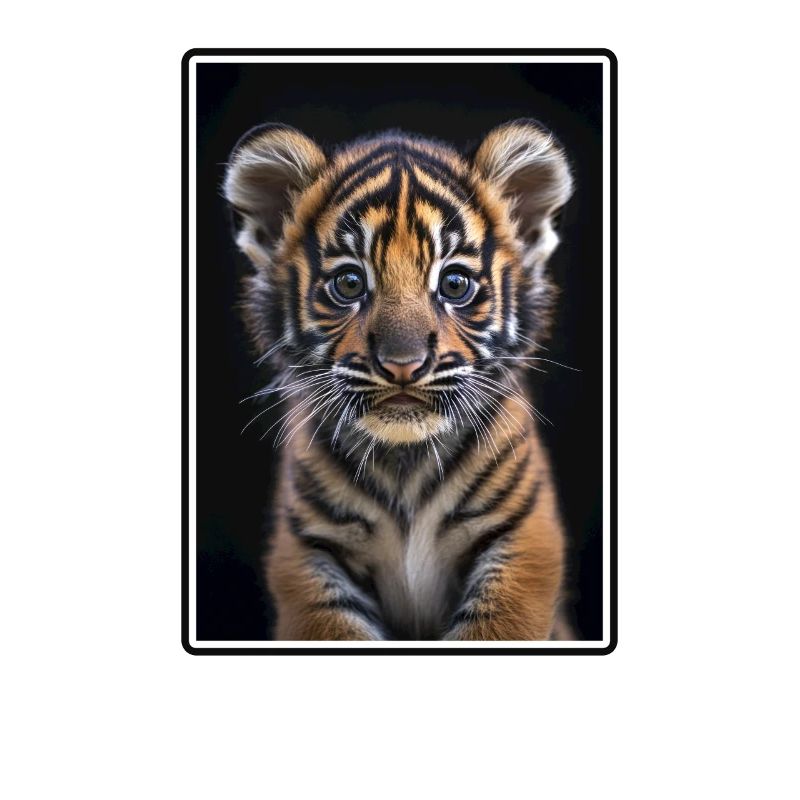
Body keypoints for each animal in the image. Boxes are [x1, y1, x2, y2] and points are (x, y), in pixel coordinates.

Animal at [223, 119, 574, 641]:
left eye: (454, 284)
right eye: (349, 283)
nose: (403, 364)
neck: (404, 464)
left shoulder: (524, 536)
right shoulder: (308, 551)